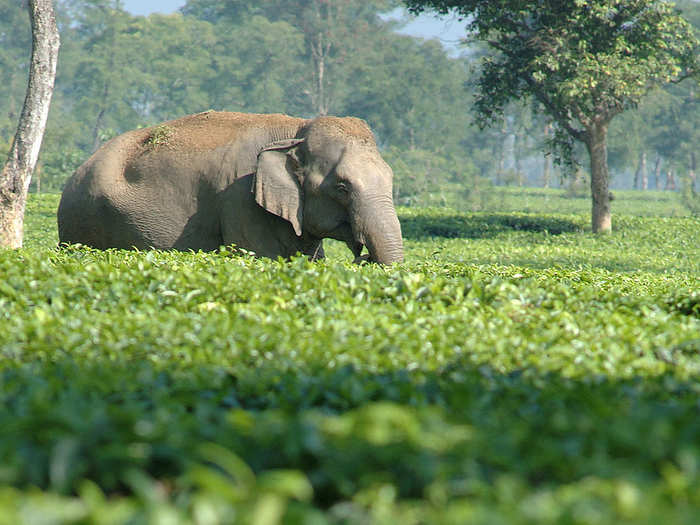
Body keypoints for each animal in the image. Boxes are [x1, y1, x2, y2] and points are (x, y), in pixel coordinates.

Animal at [59, 112, 404, 264]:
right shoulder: (240, 202)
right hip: (83, 225)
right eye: (342, 187)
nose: (363, 257)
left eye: (390, 179)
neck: (296, 129)